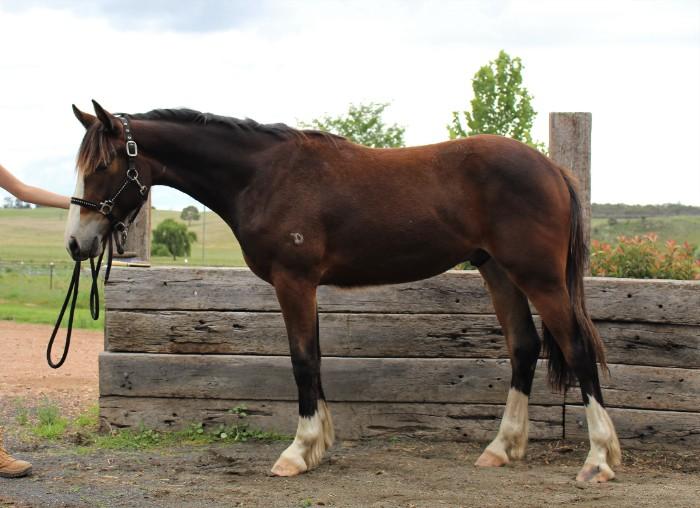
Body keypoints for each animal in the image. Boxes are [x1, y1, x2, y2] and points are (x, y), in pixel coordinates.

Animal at [65, 100, 621, 482]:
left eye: (102, 167)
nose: (76, 242)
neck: (263, 176)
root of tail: (552, 168)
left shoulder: (294, 281)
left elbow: (302, 361)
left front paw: (297, 452)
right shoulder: (305, 285)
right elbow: (314, 358)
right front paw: (319, 445)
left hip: (539, 277)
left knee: (577, 348)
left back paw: (597, 459)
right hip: (499, 271)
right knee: (523, 346)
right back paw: (501, 449)